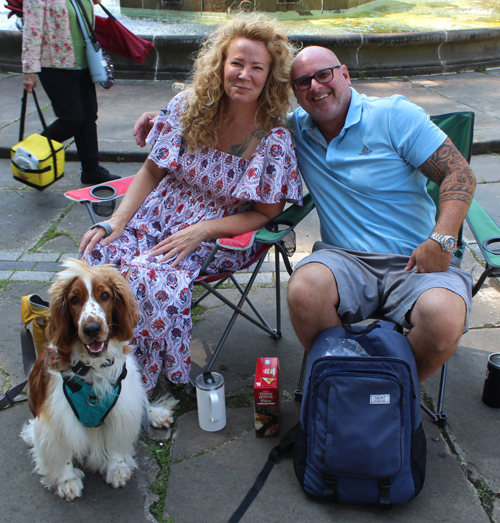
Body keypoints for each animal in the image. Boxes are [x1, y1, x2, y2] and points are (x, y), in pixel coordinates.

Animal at [21, 260, 178, 502]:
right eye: (74, 300)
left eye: (104, 295)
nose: (92, 328)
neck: (92, 366)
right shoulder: (55, 419)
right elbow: (62, 451)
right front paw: (66, 480)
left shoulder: (121, 406)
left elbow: (116, 441)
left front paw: (117, 467)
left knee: (143, 404)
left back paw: (157, 415)